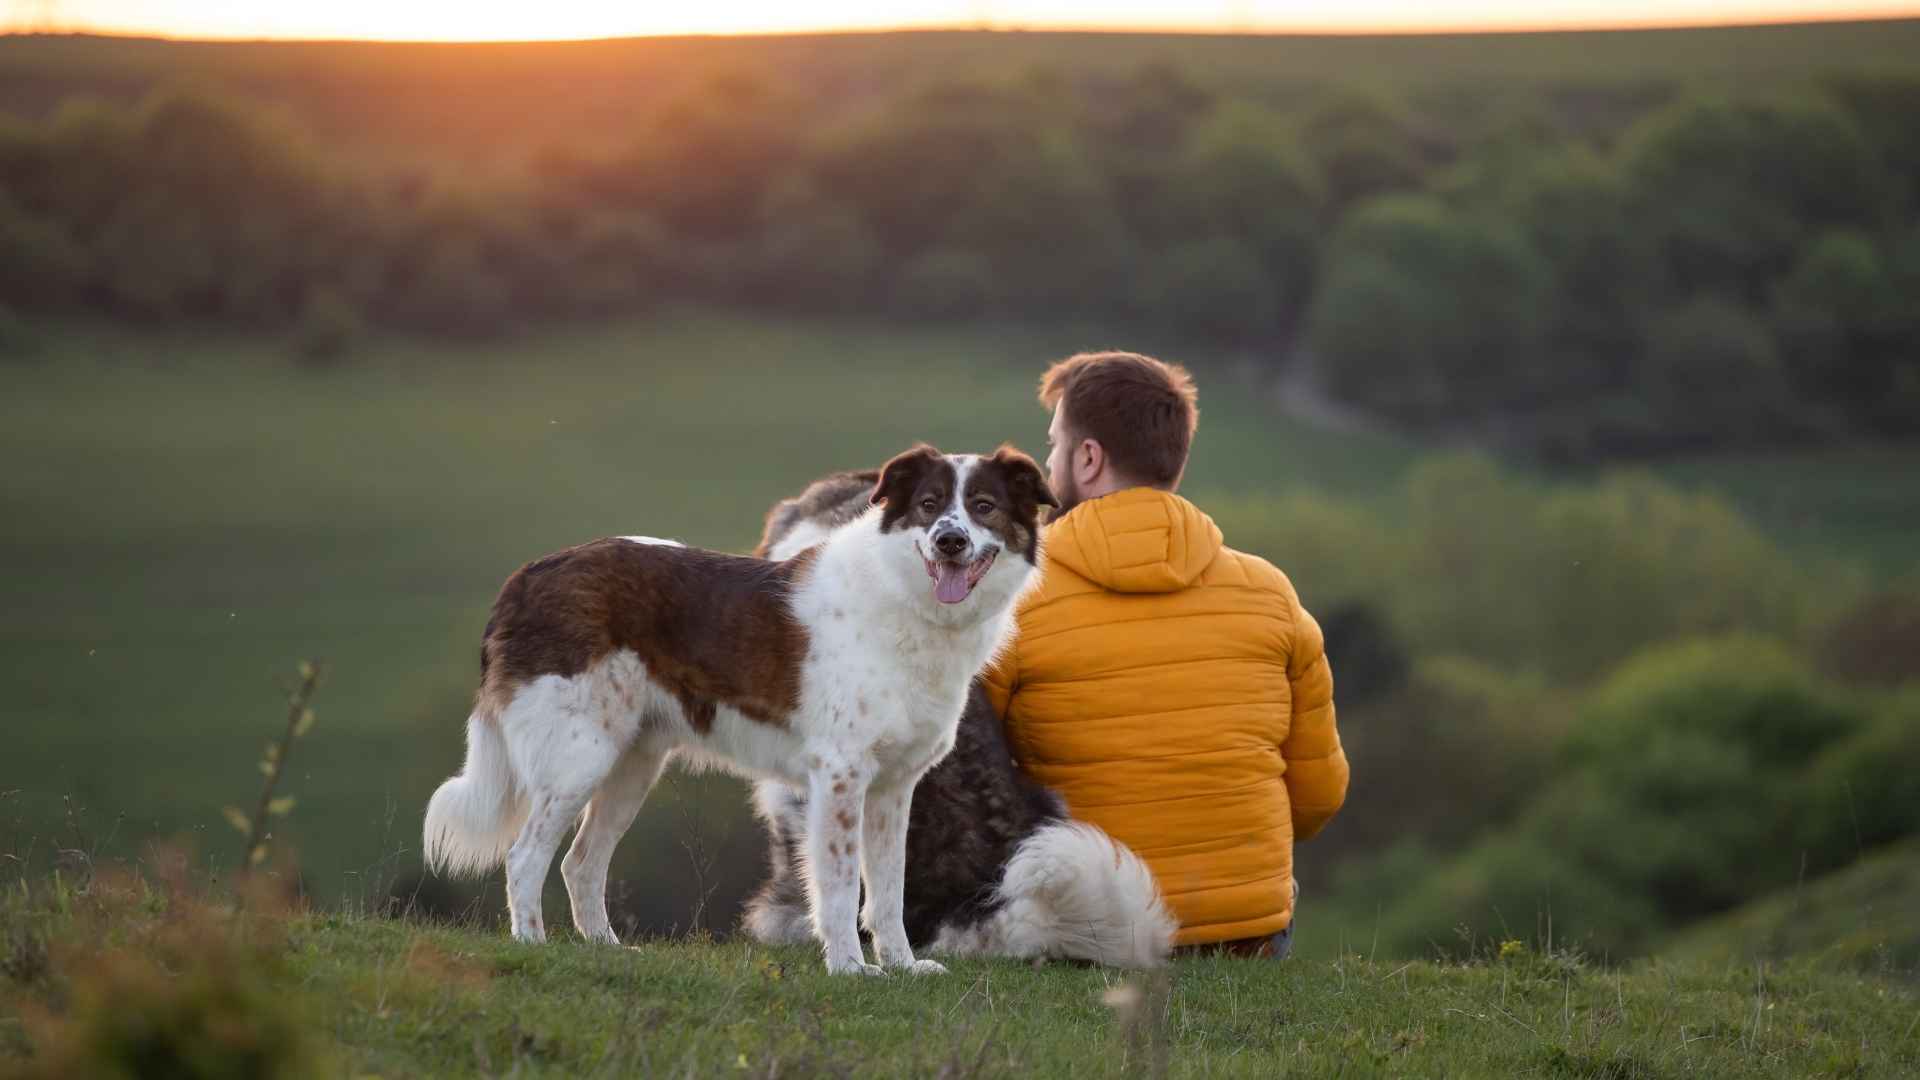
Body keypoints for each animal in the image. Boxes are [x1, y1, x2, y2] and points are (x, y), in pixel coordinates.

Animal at [420, 441, 1052, 972]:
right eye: (928, 505)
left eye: (984, 507)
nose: (950, 541)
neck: (905, 599)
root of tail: (530, 574)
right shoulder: (840, 778)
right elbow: (841, 887)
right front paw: (850, 969)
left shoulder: (894, 789)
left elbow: (888, 892)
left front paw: (901, 966)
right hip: (578, 759)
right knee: (525, 857)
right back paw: (533, 945)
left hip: (629, 767)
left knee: (581, 863)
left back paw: (607, 949)